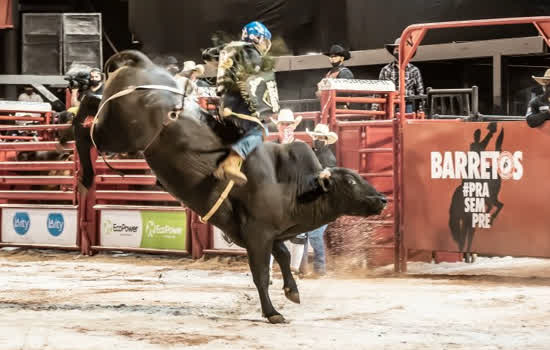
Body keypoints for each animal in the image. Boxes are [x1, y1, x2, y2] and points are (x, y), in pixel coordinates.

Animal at [70, 50, 388, 324]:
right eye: (350, 181)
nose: (382, 199)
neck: (293, 186)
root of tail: (143, 63)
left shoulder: (268, 232)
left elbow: (284, 256)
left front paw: (292, 291)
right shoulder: (257, 233)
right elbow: (261, 274)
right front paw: (272, 312)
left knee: (91, 105)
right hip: (118, 133)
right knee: (86, 127)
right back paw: (86, 173)